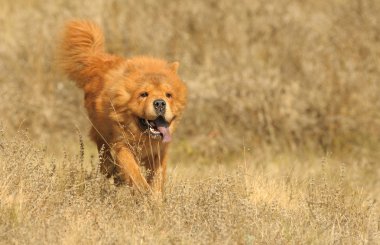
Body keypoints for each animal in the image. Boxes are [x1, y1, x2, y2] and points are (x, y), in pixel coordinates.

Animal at [59, 20, 187, 194]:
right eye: (144, 94)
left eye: (169, 95)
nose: (160, 103)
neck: (143, 136)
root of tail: (100, 60)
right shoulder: (122, 145)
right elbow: (135, 174)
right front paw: (142, 193)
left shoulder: (160, 152)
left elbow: (157, 179)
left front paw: (155, 199)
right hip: (100, 128)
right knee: (103, 152)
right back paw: (112, 172)